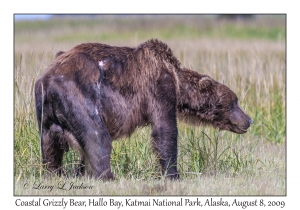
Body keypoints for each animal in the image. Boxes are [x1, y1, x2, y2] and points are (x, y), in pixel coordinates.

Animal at [34, 39, 252, 179]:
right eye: (235, 101)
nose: (249, 119)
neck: (177, 82)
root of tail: (48, 80)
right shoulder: (158, 87)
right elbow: (165, 130)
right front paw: (172, 174)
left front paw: (79, 172)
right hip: (81, 95)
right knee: (97, 137)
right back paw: (108, 176)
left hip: (46, 114)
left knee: (50, 146)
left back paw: (53, 174)